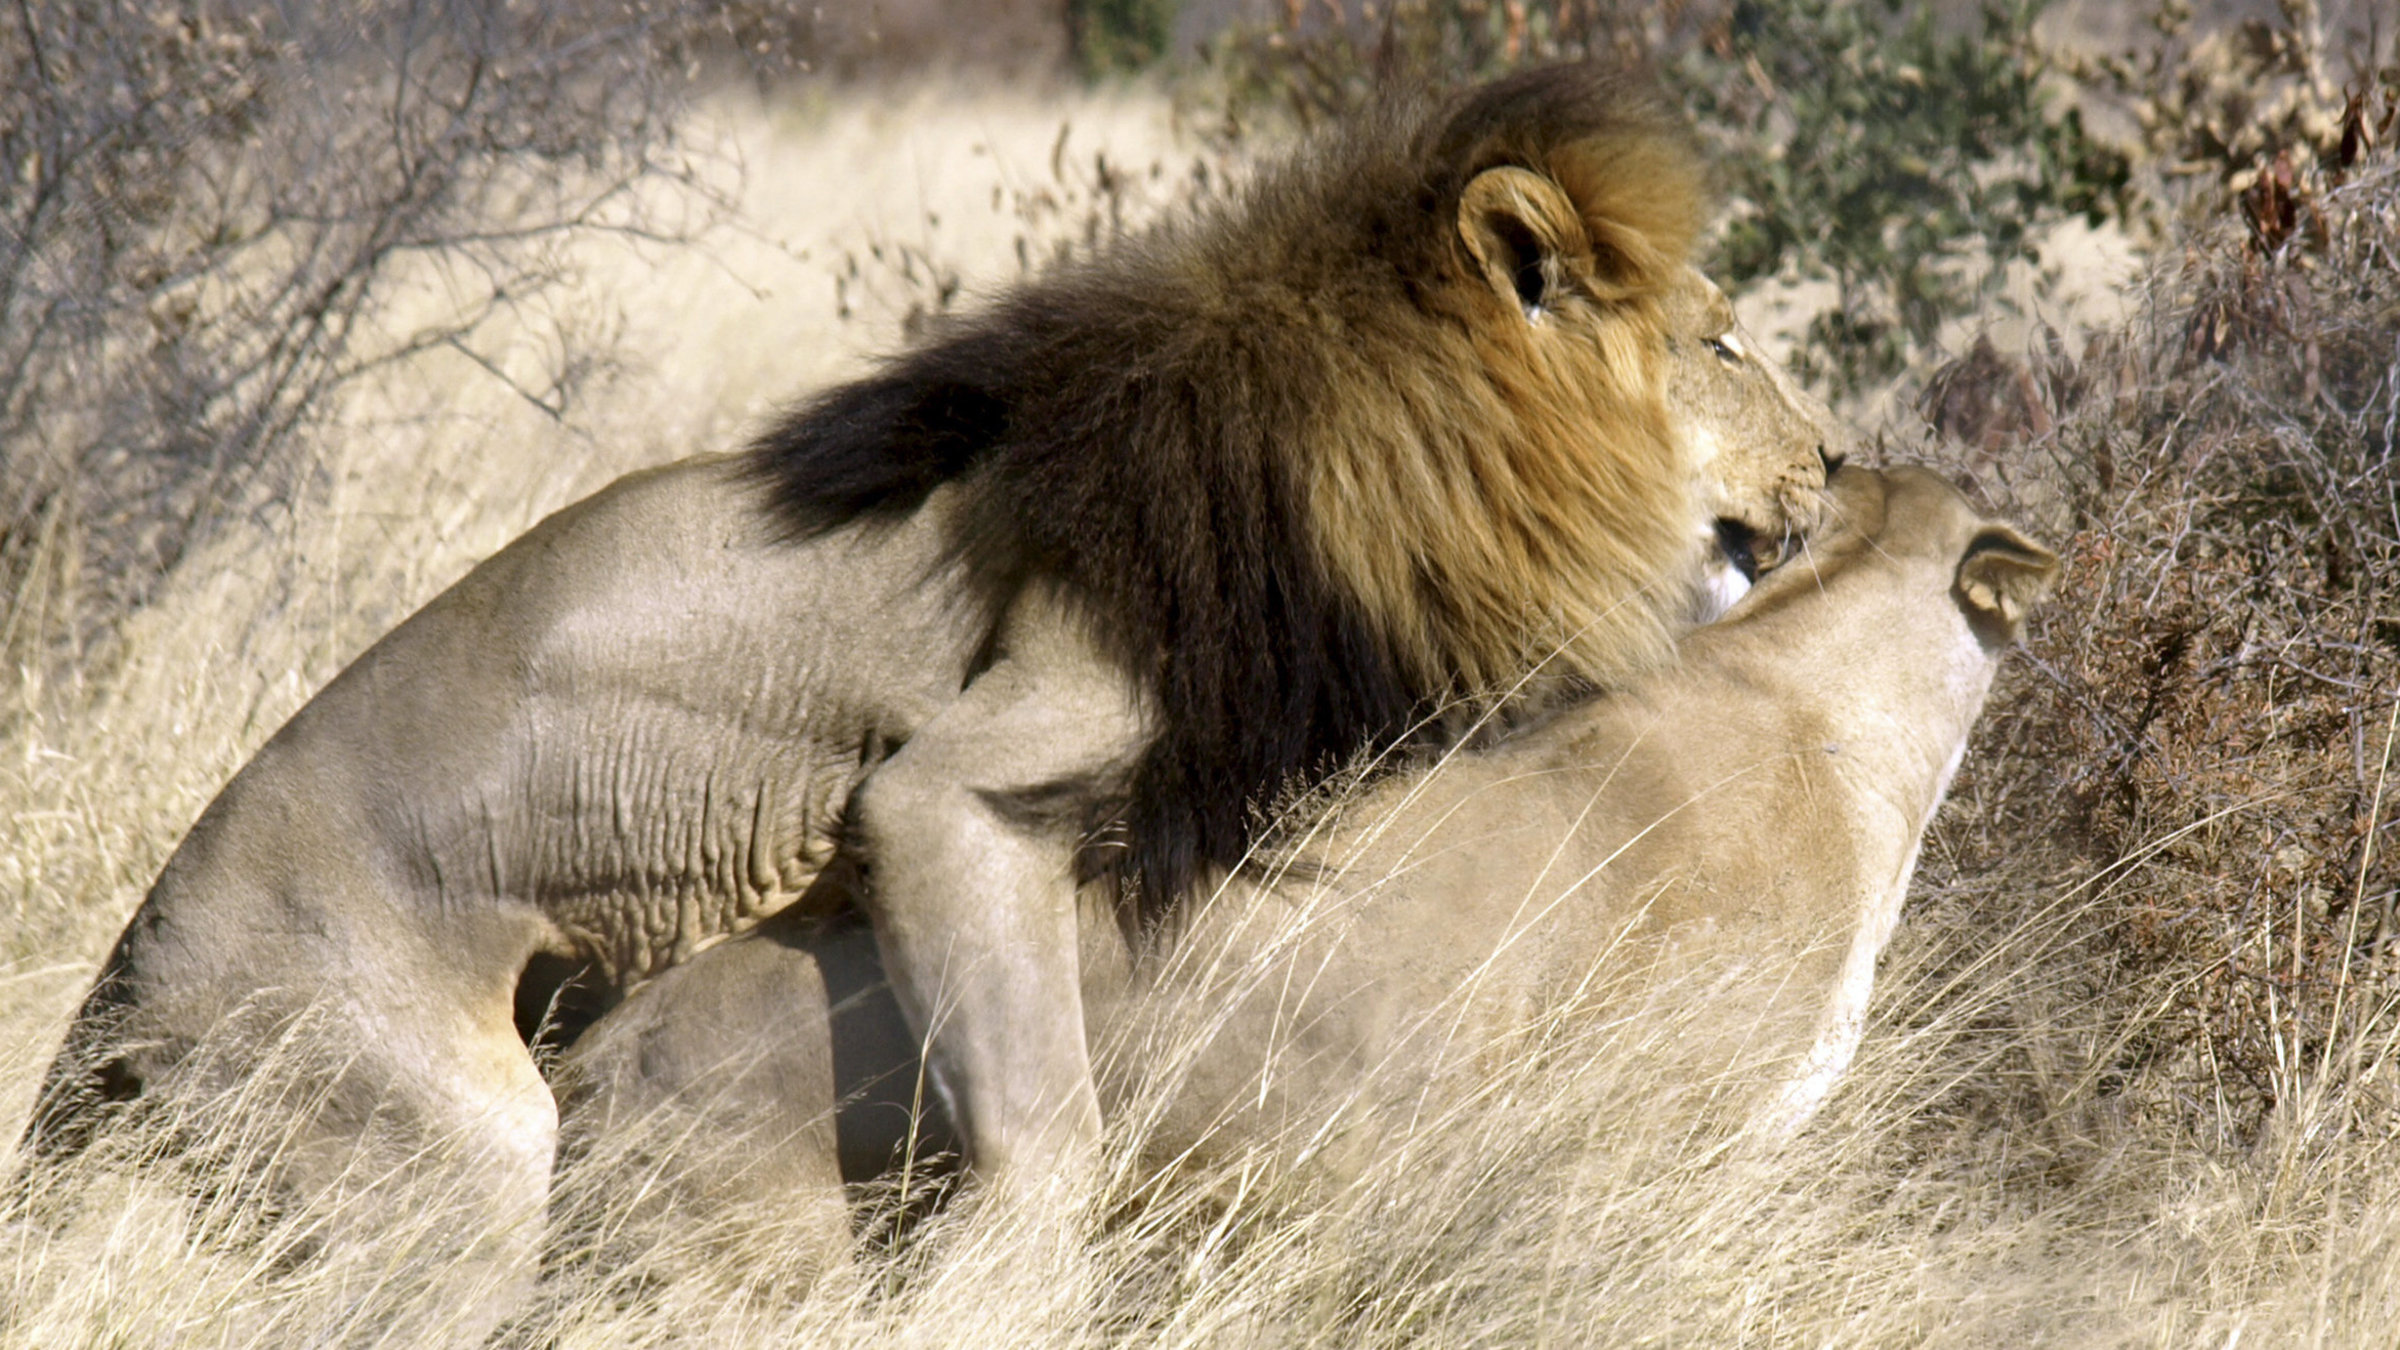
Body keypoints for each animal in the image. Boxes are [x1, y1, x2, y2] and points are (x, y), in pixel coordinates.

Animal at [22, 64, 1839, 1264]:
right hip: (428, 1139)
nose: (1831, 466)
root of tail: (118, 991)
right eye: (1724, 343)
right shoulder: (954, 781)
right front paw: (1015, 1268)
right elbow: (1045, 1115)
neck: (1337, 458)